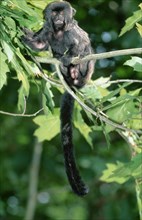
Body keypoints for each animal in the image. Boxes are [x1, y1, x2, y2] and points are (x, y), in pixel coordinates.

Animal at [22, 0, 94, 196]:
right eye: (54, 14)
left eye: (62, 13)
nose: (59, 19)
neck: (60, 31)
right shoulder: (47, 29)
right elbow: (40, 44)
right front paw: (24, 36)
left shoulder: (73, 31)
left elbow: (82, 44)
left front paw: (70, 56)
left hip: (86, 73)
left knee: (85, 53)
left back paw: (73, 69)